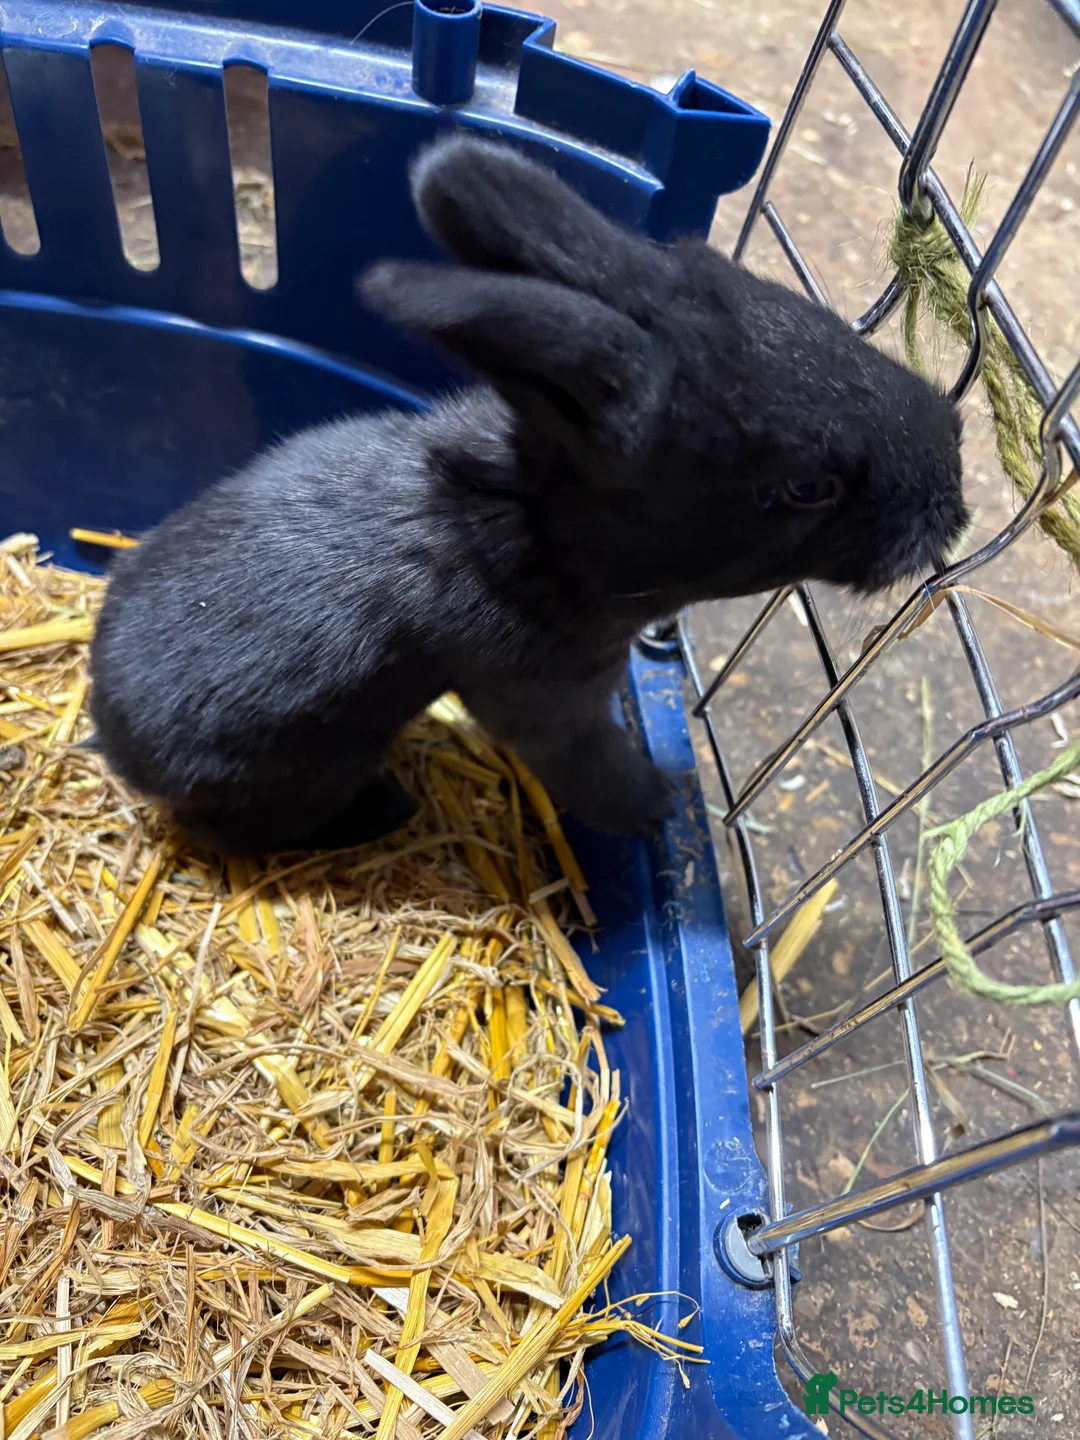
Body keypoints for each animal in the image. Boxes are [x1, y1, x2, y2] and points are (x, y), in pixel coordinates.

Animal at [89, 133, 967, 855]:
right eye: (805, 486)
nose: (955, 495)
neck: (535, 528)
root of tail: (113, 735)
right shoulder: (549, 702)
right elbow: (597, 773)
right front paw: (666, 810)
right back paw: (385, 813)